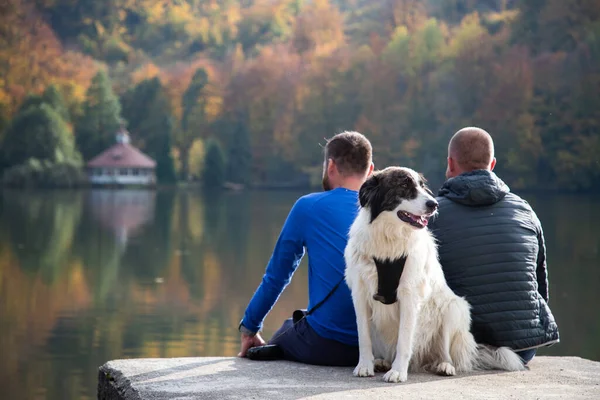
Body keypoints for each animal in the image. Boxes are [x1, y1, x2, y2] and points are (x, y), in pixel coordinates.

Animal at [342, 167, 524, 382]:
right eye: (403, 185)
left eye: (422, 186)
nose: (433, 204)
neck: (389, 242)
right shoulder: (360, 294)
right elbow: (364, 337)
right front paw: (365, 366)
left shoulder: (409, 296)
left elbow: (404, 339)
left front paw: (398, 372)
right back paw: (381, 362)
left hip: (453, 309)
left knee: (445, 351)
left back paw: (444, 366)